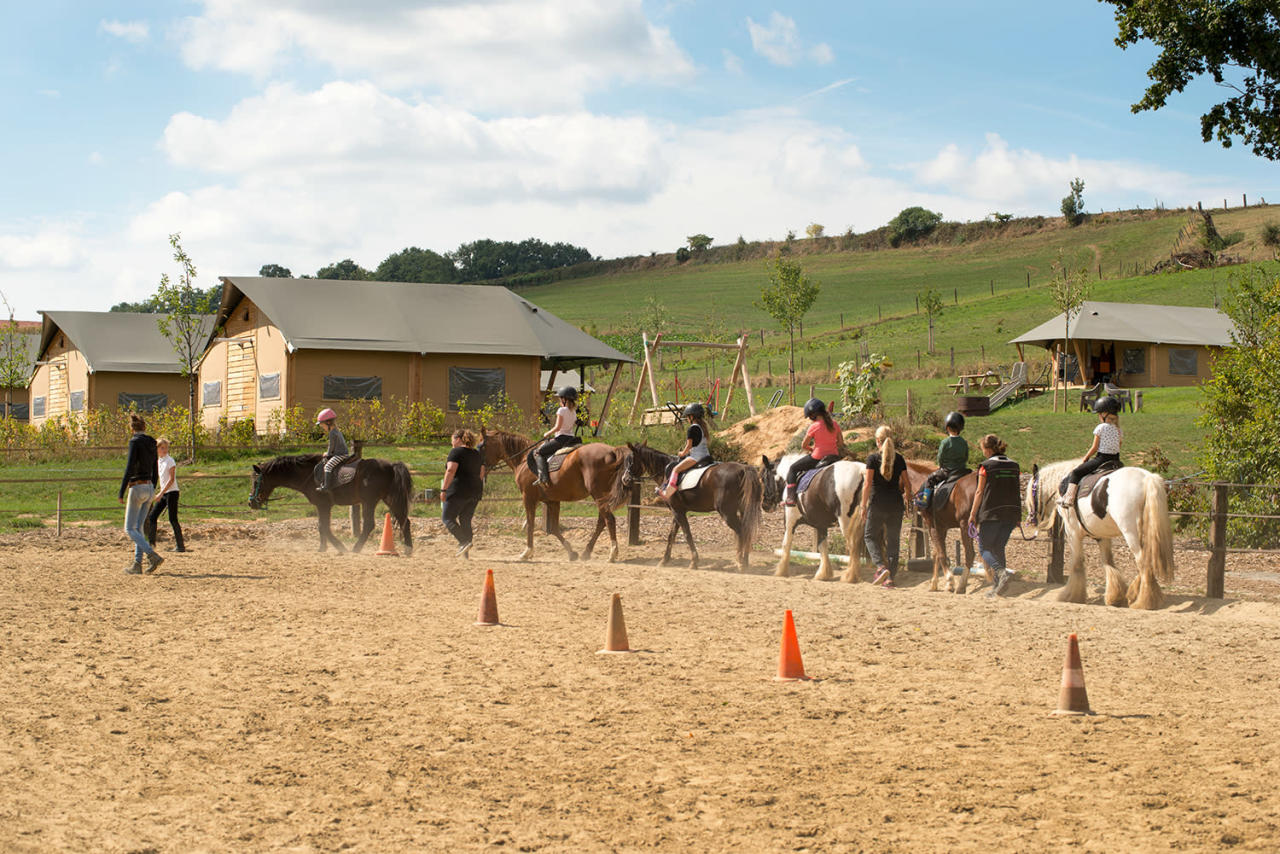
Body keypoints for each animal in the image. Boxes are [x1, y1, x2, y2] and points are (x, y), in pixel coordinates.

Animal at [476, 430, 629, 563]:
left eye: (482, 446)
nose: (480, 470)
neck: (523, 459)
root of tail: (612, 451)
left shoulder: (528, 498)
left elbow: (530, 524)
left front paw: (527, 552)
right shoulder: (552, 501)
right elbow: (554, 528)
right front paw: (571, 553)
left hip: (598, 495)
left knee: (609, 520)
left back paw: (612, 553)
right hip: (602, 497)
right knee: (602, 521)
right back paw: (587, 552)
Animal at [901, 460, 988, 594]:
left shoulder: (932, 526)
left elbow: (941, 554)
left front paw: (949, 581)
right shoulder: (942, 527)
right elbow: (937, 553)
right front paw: (934, 583)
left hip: (965, 526)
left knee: (970, 554)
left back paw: (961, 585)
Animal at [1024, 460, 1172, 606]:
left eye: (1031, 490)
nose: (1030, 519)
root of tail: (1146, 478)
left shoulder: (1072, 532)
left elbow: (1077, 563)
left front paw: (1071, 596)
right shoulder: (1102, 535)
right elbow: (1108, 561)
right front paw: (1115, 596)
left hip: (1131, 533)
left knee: (1143, 561)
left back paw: (1144, 601)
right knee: (1146, 560)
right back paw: (1136, 594)